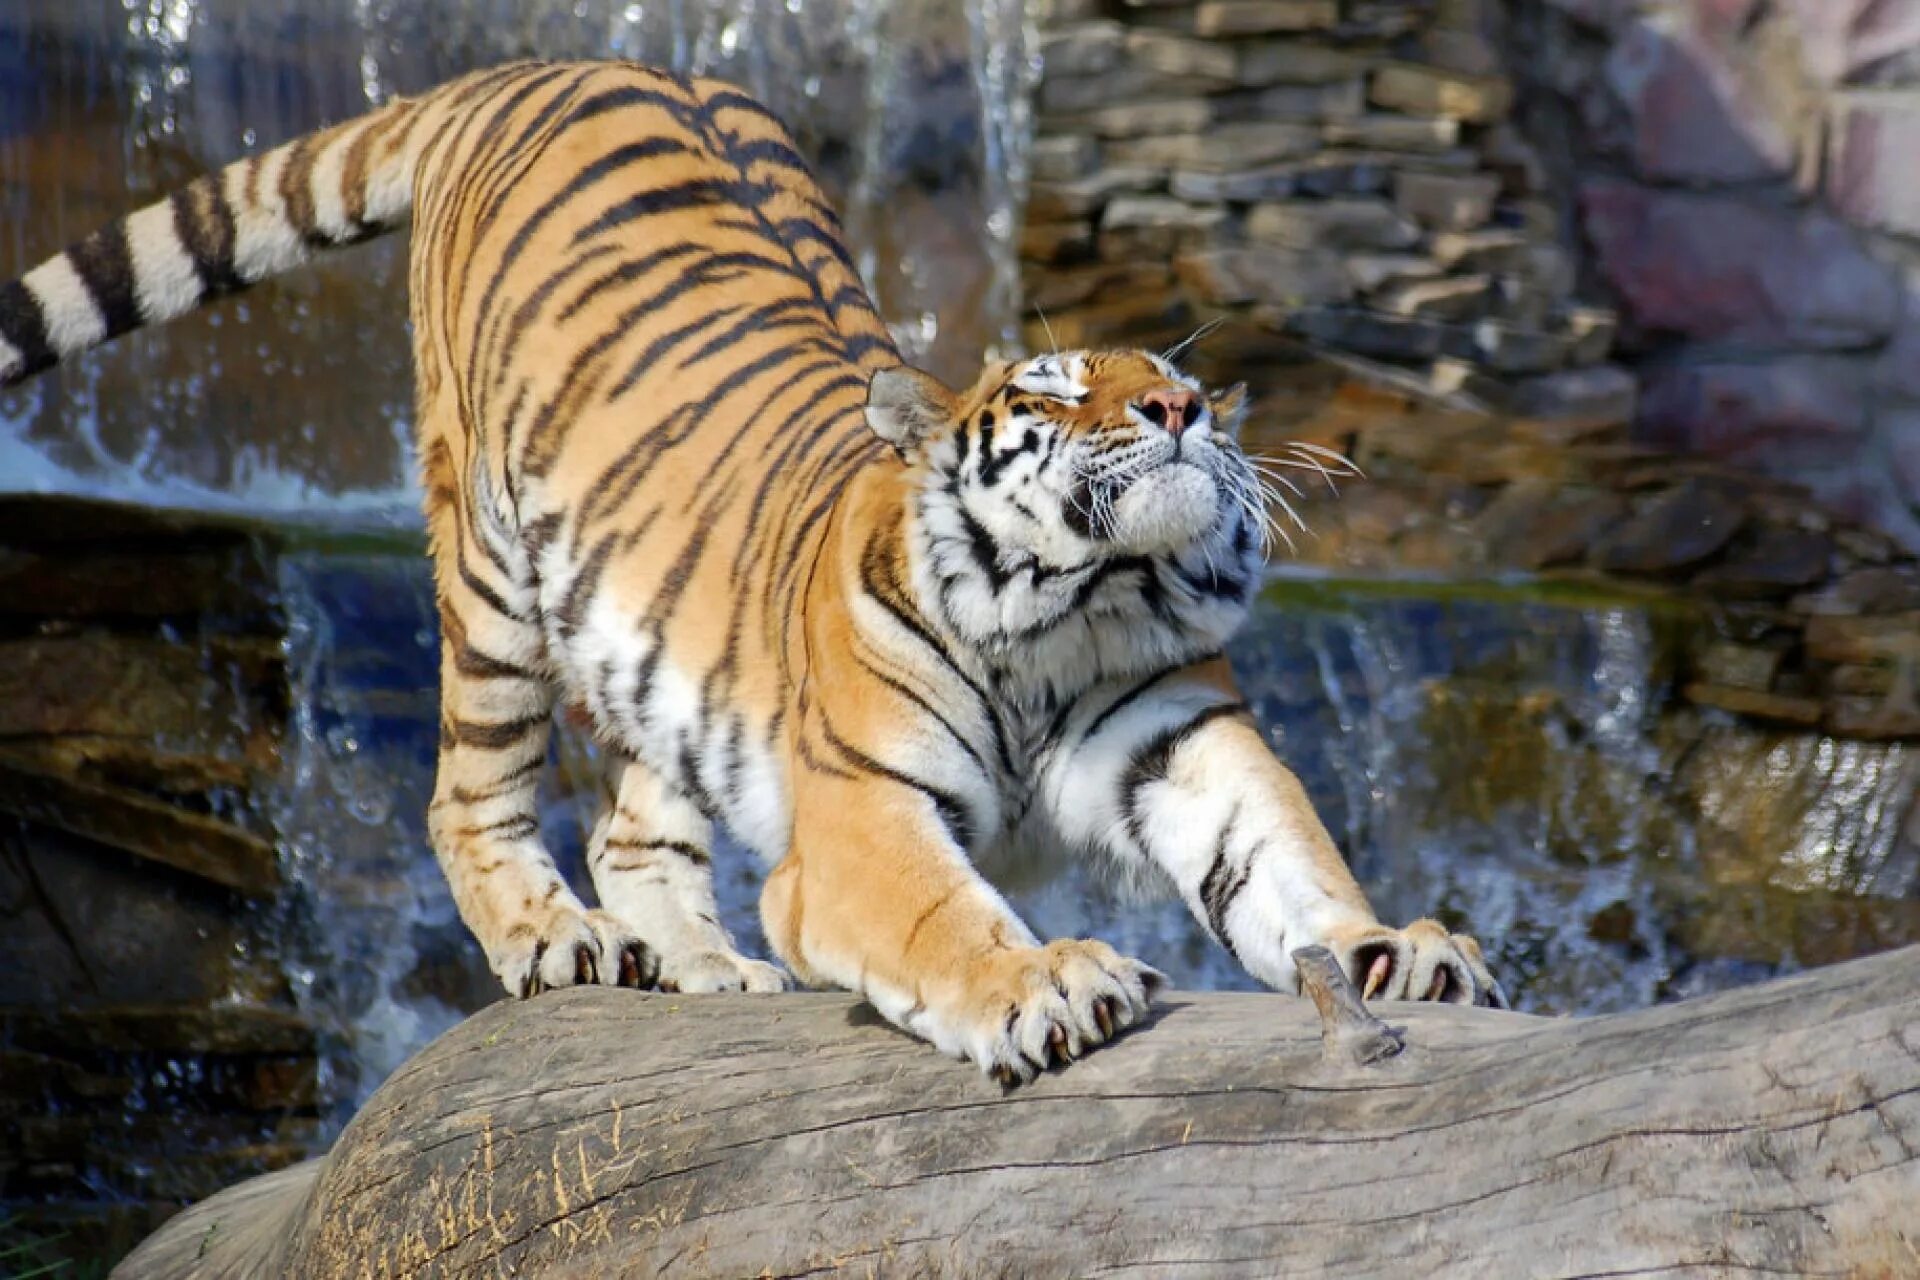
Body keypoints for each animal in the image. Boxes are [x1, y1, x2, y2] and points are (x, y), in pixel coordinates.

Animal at [0, 59, 1497, 1082]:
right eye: (1059, 391)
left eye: (1176, 384)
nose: (1183, 411)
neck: (1077, 609)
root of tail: (543, 62)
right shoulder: (861, 817)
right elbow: (948, 916)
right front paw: (1046, 984)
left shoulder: (1182, 742)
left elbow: (1292, 863)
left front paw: (1403, 952)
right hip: (489, 571)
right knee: (468, 795)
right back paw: (558, 938)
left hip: (653, 646)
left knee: (629, 830)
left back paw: (708, 967)